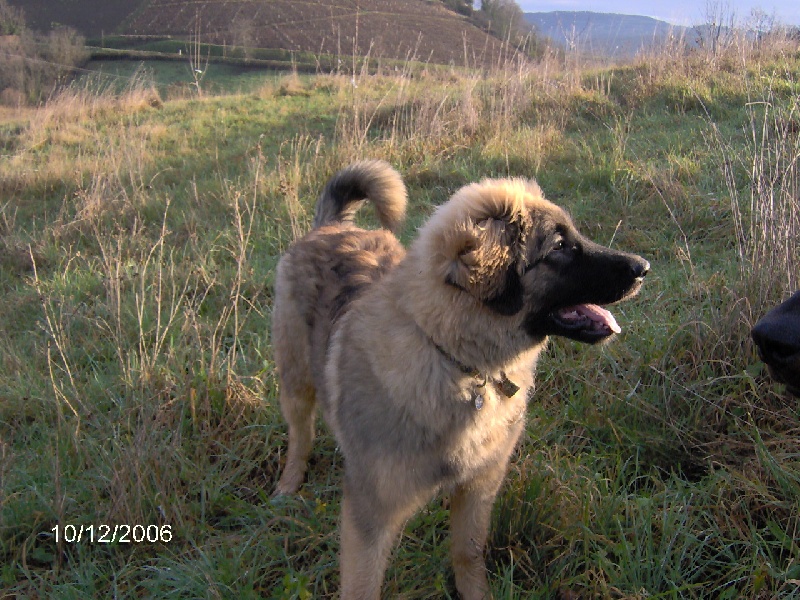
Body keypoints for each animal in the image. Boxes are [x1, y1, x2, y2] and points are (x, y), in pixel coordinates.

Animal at [272, 161, 648, 600]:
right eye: (558, 246)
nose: (643, 268)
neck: (460, 365)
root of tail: (330, 227)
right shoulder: (371, 511)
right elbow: (362, 586)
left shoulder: (480, 485)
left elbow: (467, 555)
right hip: (295, 380)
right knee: (300, 435)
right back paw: (288, 485)